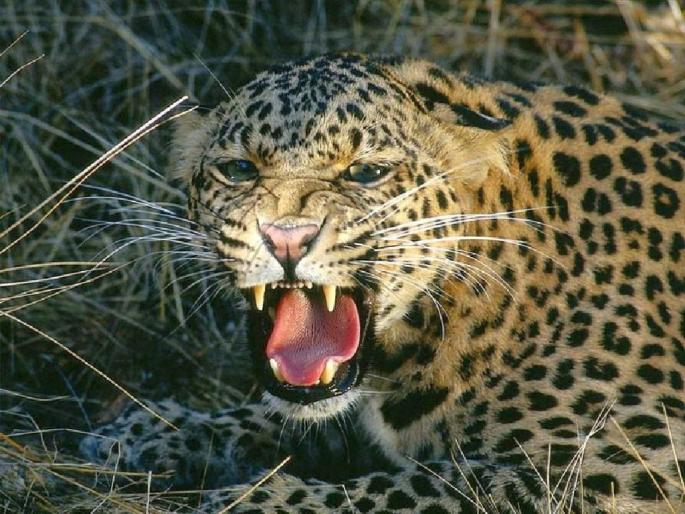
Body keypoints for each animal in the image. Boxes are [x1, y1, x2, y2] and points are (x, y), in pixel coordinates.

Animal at [81, 53, 685, 513]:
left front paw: (253, 502)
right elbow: (286, 417)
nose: (286, 238)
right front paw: (155, 430)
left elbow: (437, 485)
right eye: (239, 170)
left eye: (366, 173)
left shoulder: (635, 459)